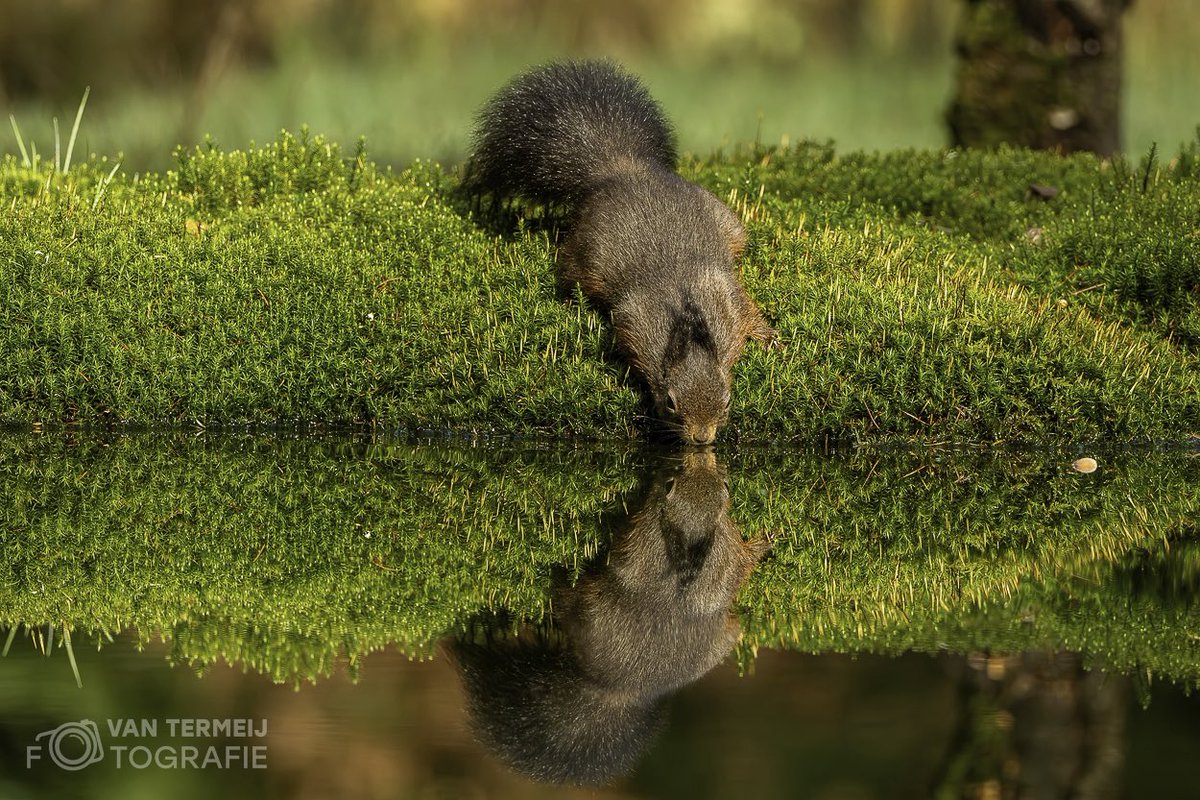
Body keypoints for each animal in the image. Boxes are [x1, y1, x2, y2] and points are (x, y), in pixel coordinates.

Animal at [467, 60, 778, 445]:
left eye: (726, 400)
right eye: (671, 402)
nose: (701, 438)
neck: (688, 317)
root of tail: (620, 171)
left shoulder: (725, 302)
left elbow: (747, 311)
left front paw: (768, 336)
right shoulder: (637, 319)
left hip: (728, 223)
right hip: (581, 258)